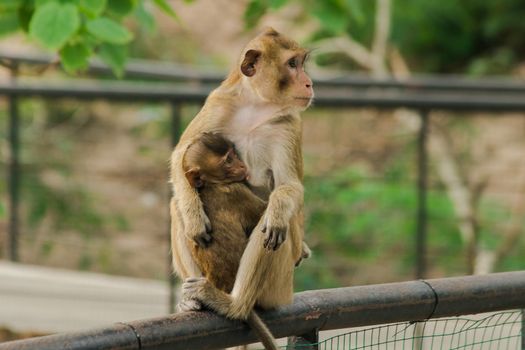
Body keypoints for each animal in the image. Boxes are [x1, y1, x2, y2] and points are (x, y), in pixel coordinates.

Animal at [170, 26, 314, 322]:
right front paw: (194, 218)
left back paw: (234, 305)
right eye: (292, 64)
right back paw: (194, 300)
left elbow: (290, 187)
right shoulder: (219, 102)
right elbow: (180, 156)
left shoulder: (289, 124)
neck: (257, 106)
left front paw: (278, 211)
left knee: (271, 228)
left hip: (280, 286)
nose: (309, 84)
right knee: (174, 202)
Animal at [181, 132, 276, 350]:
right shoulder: (236, 192)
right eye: (228, 161)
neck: (210, 184)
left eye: (233, 154)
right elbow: (262, 216)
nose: (241, 165)